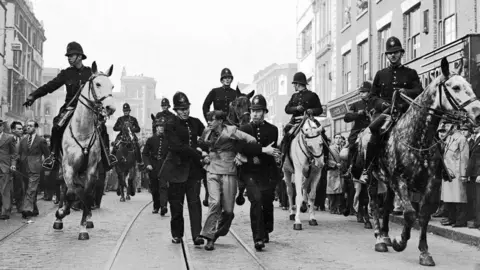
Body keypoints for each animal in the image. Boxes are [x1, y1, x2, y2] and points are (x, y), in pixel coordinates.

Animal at [52, 62, 115, 239]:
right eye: (98, 84)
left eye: (112, 86)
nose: (110, 108)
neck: (82, 132)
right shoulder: (68, 167)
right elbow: (70, 193)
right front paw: (61, 212)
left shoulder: (91, 170)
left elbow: (86, 194)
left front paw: (83, 227)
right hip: (62, 169)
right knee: (63, 188)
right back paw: (59, 217)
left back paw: (87, 218)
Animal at [358, 57, 480, 266]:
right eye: (456, 87)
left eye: (470, 86)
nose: (478, 113)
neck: (416, 138)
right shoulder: (400, 180)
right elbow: (409, 213)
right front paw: (400, 241)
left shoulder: (431, 184)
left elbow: (422, 216)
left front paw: (424, 251)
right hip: (374, 179)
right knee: (373, 204)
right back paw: (380, 238)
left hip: (389, 184)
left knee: (386, 206)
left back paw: (386, 235)